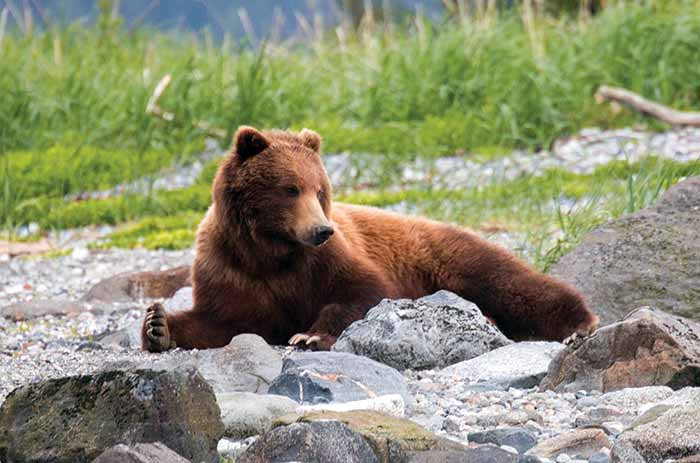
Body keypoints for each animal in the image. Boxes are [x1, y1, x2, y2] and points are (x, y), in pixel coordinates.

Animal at [142, 126, 599, 352]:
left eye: (319, 189)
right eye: (290, 188)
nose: (321, 230)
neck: (270, 250)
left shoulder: (326, 260)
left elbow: (363, 291)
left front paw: (309, 334)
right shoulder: (230, 269)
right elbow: (226, 319)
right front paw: (158, 325)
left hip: (443, 254)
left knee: (510, 282)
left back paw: (577, 324)